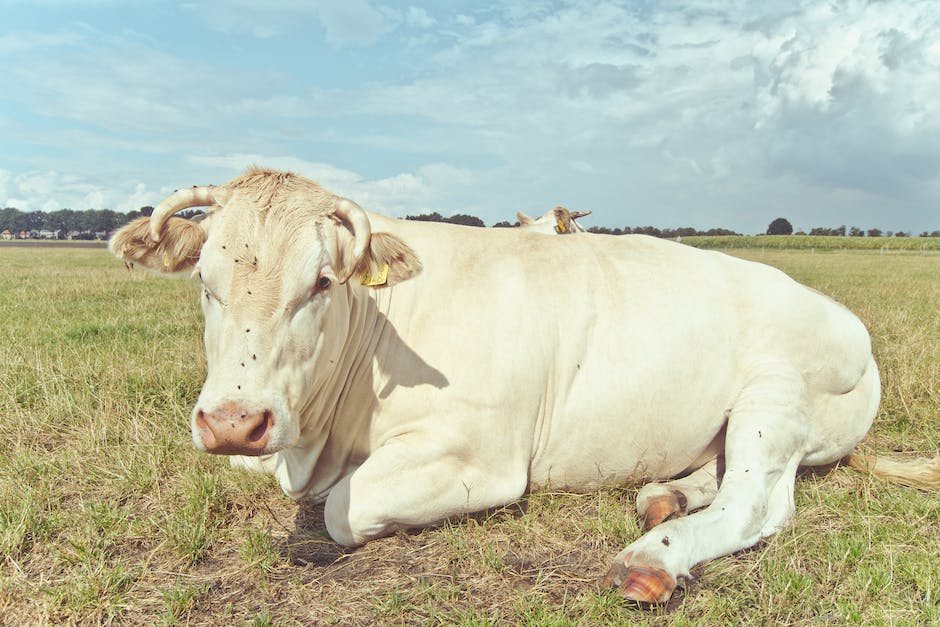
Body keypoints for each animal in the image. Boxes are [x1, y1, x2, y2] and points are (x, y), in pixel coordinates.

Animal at [112, 167, 940, 604]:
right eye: (206, 281)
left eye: (320, 281)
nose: (233, 420)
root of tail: (850, 322)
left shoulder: (478, 454)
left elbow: (346, 506)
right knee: (719, 472)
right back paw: (663, 494)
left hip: (776, 397)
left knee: (757, 504)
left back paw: (654, 555)